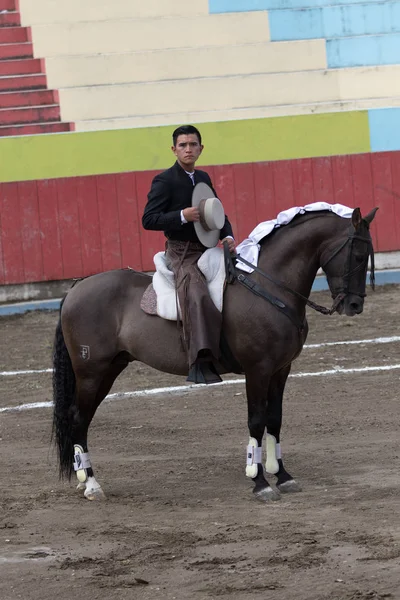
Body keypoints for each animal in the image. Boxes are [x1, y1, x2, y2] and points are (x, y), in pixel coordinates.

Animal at [51, 206, 376, 502]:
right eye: (359, 256)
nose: (355, 306)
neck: (269, 287)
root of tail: (77, 288)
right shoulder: (258, 370)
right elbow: (256, 420)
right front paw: (259, 482)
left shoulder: (281, 369)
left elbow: (275, 419)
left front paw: (283, 476)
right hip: (91, 372)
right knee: (78, 418)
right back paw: (92, 485)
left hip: (110, 369)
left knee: (83, 418)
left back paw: (83, 479)